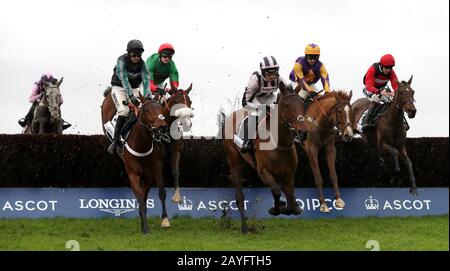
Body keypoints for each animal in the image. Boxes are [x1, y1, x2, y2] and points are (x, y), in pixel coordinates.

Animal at [102, 89, 171, 234]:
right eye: (147, 110)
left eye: (161, 108)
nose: (162, 127)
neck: (141, 143)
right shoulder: (133, 173)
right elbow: (140, 198)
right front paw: (145, 228)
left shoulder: (152, 171)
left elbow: (150, 196)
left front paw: (161, 221)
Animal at [221, 82, 302, 234]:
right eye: (287, 105)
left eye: (302, 103)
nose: (302, 131)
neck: (280, 143)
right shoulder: (264, 171)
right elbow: (276, 189)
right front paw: (275, 209)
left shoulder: (289, 174)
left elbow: (290, 197)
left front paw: (289, 206)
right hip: (234, 160)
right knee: (239, 196)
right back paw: (245, 228)